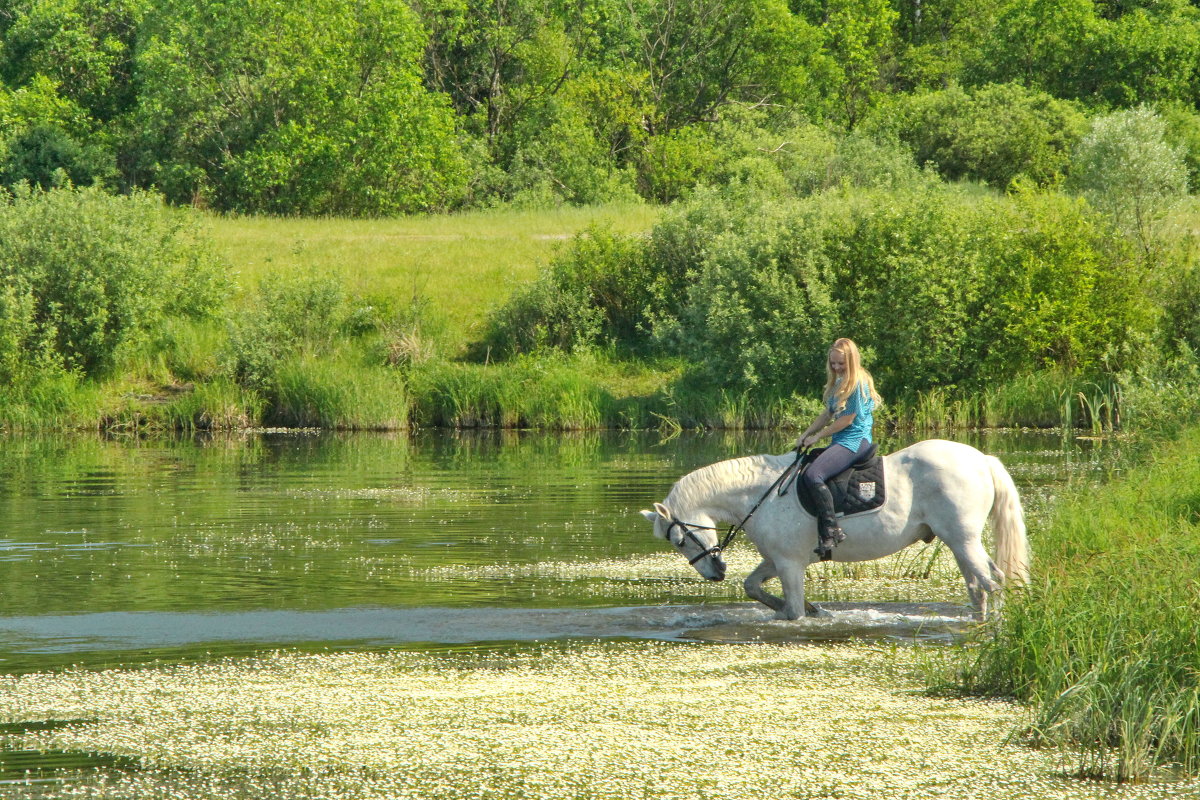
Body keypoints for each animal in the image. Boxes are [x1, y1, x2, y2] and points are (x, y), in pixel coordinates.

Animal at [643, 438, 1027, 618]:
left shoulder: (789, 564)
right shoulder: (776, 560)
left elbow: (793, 612)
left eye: (679, 541)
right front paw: (815, 609)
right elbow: (752, 586)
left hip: (963, 539)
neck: (759, 493)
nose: (715, 573)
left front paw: (805, 611)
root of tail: (981, 460)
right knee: (978, 586)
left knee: (993, 583)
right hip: (957, 542)